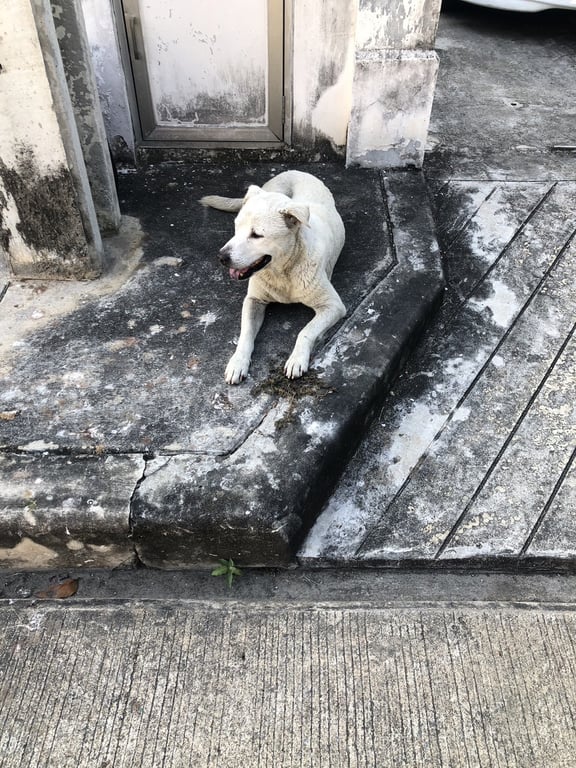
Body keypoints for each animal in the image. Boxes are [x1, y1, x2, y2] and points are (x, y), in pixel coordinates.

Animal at [200, 170, 346, 384]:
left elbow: (305, 331)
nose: (221, 257)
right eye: (236, 227)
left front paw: (296, 359)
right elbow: (245, 334)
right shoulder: (253, 300)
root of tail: (296, 171)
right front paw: (238, 362)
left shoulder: (333, 306)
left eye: (256, 235)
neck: (282, 272)